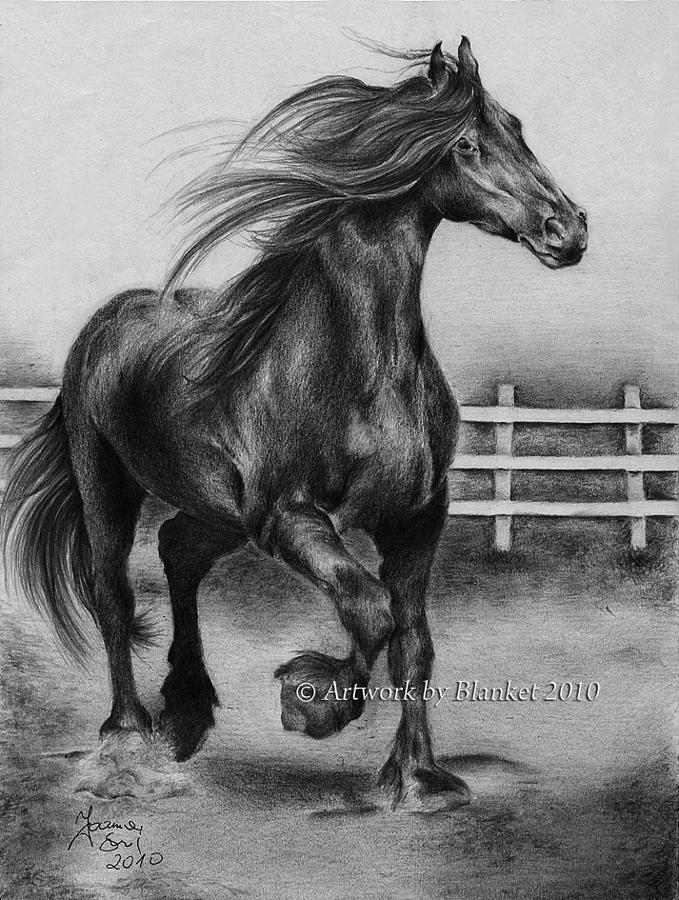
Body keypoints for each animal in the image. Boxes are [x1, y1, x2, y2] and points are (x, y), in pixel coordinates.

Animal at [0, 36, 586, 812]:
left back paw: (188, 708)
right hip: (108, 487)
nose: (567, 230)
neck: (355, 366)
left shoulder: (417, 519)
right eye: (463, 144)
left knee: (178, 551)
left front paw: (416, 782)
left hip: (216, 510)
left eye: (517, 128)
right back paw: (129, 744)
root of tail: (107, 320)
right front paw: (311, 702)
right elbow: (369, 609)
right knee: (112, 594)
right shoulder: (291, 517)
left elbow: (413, 643)